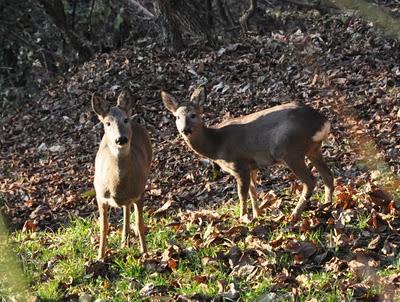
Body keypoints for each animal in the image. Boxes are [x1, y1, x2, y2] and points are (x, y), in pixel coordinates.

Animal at [91, 90, 152, 260]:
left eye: (125, 120)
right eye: (107, 123)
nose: (121, 139)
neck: (117, 185)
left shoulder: (140, 192)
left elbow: (140, 224)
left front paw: (145, 253)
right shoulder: (100, 196)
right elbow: (103, 227)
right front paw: (100, 256)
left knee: (127, 208)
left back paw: (126, 239)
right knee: (125, 207)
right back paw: (124, 240)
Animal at [162, 86, 334, 222]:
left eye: (193, 115)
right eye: (177, 117)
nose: (185, 129)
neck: (217, 145)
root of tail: (323, 122)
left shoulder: (239, 165)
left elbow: (242, 194)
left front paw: (243, 218)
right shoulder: (252, 166)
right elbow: (253, 190)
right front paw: (257, 214)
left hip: (291, 151)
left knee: (310, 181)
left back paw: (295, 215)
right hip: (313, 149)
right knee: (328, 175)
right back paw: (327, 208)